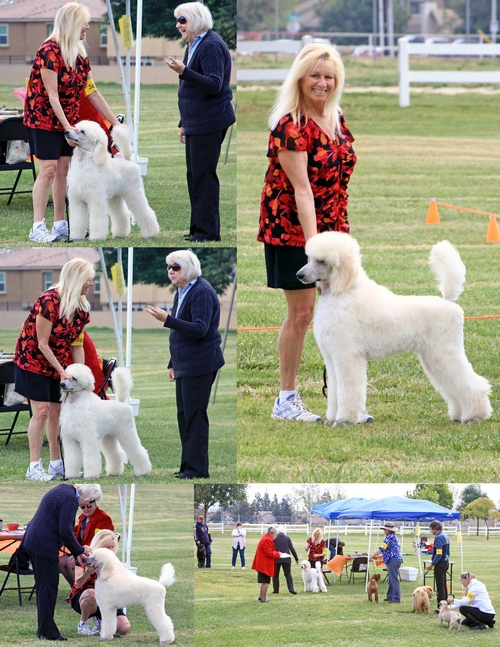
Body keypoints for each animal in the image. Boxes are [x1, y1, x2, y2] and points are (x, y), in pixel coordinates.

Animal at [296, 232, 492, 426]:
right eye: (310, 258)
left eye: (321, 261)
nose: (299, 275)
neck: (343, 292)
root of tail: (448, 301)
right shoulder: (332, 358)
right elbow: (335, 390)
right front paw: (332, 418)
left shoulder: (347, 356)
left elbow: (347, 390)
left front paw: (344, 420)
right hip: (432, 356)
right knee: (452, 385)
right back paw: (459, 415)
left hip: (444, 350)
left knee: (472, 382)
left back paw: (475, 416)